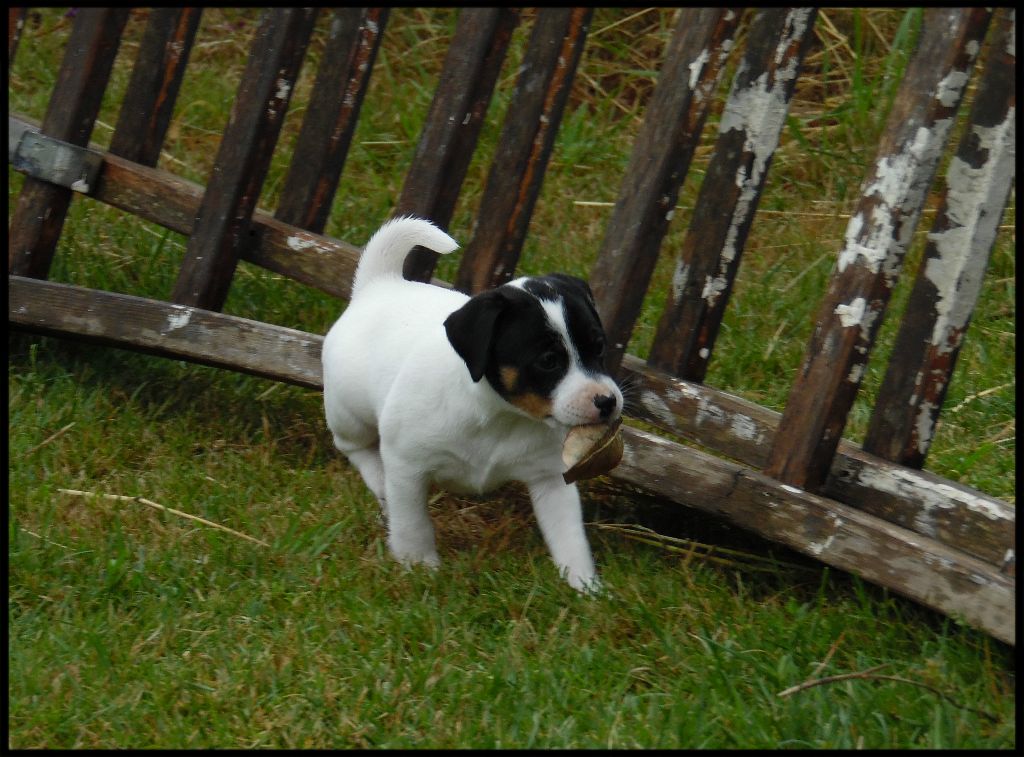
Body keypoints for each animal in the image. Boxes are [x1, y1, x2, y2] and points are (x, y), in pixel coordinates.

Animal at [322, 216, 622, 591]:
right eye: (548, 361)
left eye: (599, 347)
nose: (607, 401)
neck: (500, 415)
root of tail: (379, 285)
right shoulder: (407, 467)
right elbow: (412, 524)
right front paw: (419, 566)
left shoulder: (551, 479)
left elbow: (569, 538)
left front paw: (585, 587)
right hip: (348, 412)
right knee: (355, 447)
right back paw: (378, 480)